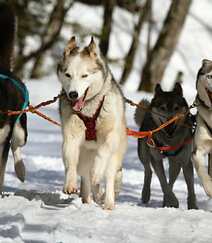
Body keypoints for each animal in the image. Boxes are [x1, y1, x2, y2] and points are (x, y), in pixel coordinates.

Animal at [57, 37, 127, 210]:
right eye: (68, 74)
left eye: (84, 75)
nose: (73, 94)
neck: (89, 109)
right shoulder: (71, 135)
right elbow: (70, 159)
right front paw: (70, 183)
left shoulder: (110, 137)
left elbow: (102, 154)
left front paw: (97, 171)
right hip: (84, 158)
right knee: (86, 178)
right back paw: (87, 200)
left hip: (114, 157)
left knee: (108, 177)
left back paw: (108, 202)